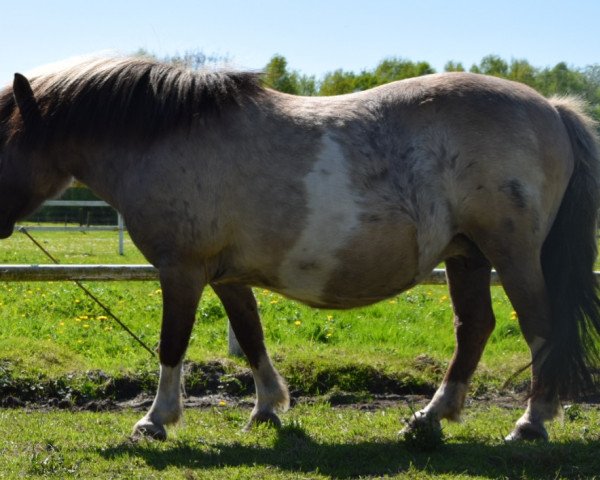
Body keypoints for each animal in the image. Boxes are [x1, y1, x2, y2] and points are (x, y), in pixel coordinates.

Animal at [1, 57, 600, 442]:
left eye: (2, 139)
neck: (166, 136)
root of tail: (551, 107)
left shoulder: (182, 271)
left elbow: (172, 344)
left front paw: (156, 420)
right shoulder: (226, 277)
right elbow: (251, 336)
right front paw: (267, 409)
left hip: (512, 254)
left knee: (540, 326)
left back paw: (531, 422)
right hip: (467, 255)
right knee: (474, 327)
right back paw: (429, 418)